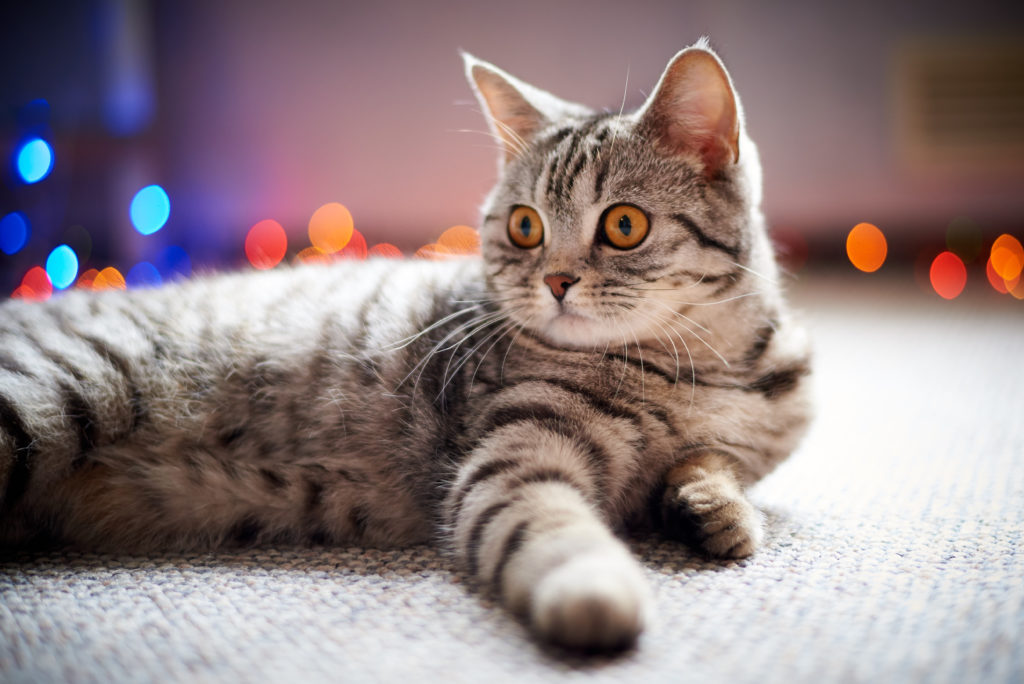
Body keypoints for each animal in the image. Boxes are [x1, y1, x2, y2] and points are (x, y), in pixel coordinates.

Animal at [2, 38, 815, 651]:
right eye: (524, 226)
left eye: (623, 225)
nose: (553, 281)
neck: (706, 370)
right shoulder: (513, 459)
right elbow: (554, 531)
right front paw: (599, 595)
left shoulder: (745, 443)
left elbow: (713, 466)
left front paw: (712, 508)